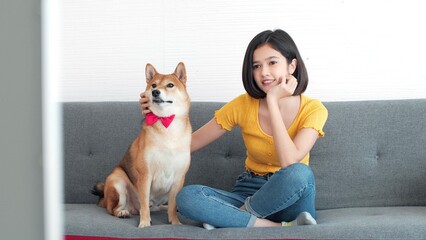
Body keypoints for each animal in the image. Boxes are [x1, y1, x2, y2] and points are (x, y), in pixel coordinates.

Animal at [95, 62, 193, 227]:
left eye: (170, 85)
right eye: (153, 85)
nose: (155, 92)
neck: (167, 125)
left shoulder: (179, 178)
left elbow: (172, 205)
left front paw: (175, 222)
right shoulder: (145, 175)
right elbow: (144, 204)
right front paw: (145, 224)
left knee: (157, 206)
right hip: (117, 180)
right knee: (114, 208)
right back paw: (122, 212)